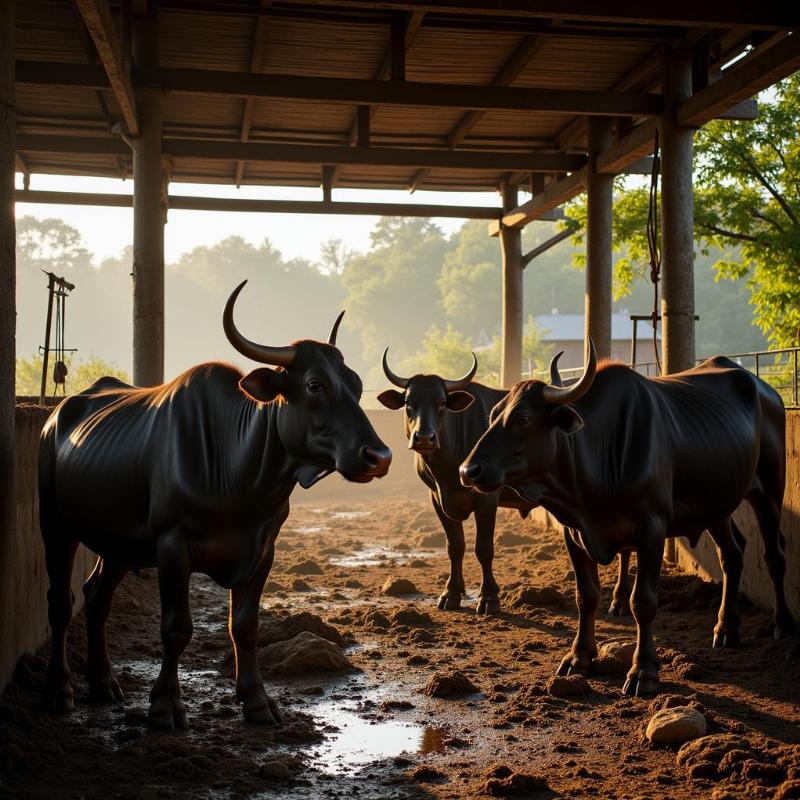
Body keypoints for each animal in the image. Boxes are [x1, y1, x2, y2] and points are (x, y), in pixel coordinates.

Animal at [39, 282, 390, 732]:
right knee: (61, 602)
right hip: (55, 524)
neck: (240, 478)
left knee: (97, 598)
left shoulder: (263, 550)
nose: (378, 456)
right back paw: (58, 689)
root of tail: (58, 416)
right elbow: (176, 629)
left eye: (356, 384)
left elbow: (245, 626)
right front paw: (165, 705)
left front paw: (257, 700)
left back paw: (103, 683)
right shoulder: (172, 546)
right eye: (315, 384)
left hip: (118, 541)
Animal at [378, 348, 536, 612]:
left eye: (442, 402)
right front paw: (451, 593)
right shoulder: (437, 498)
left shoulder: (487, 499)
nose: (424, 438)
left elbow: (484, 548)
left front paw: (489, 598)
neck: (449, 468)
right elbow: (455, 546)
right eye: (409, 403)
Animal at [460, 340, 792, 696]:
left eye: (522, 417)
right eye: (493, 415)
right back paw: (726, 628)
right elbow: (586, 595)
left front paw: (643, 671)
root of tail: (765, 391)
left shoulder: (652, 530)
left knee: (774, 554)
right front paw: (579, 657)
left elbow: (642, 601)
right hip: (717, 503)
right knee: (732, 553)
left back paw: (782, 626)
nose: (468, 470)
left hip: (769, 490)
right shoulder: (573, 532)